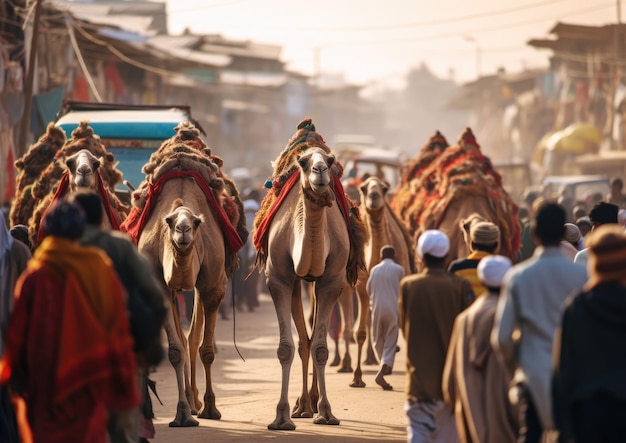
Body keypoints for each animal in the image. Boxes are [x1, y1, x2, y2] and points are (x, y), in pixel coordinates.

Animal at [122, 123, 244, 428]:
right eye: (168, 221)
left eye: (197, 222)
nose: (183, 230)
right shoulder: (160, 286)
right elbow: (175, 350)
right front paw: (181, 413)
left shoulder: (213, 288)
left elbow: (206, 348)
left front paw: (211, 408)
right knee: (184, 335)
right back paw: (190, 400)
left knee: (194, 336)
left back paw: (199, 402)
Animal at [250, 119, 366, 430]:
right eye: (302, 162)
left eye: (331, 161)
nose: (320, 172)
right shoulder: (278, 279)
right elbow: (286, 348)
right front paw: (280, 416)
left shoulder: (331, 281)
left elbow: (321, 348)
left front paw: (326, 412)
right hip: (296, 284)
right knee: (303, 339)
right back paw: (301, 406)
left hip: (313, 284)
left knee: (311, 338)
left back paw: (310, 404)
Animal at [336, 175, 414, 386]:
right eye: (363, 188)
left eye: (385, 188)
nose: (374, 196)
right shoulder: (363, 287)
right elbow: (360, 332)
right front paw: (357, 378)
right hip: (345, 287)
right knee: (348, 325)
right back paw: (345, 364)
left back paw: (373, 359)